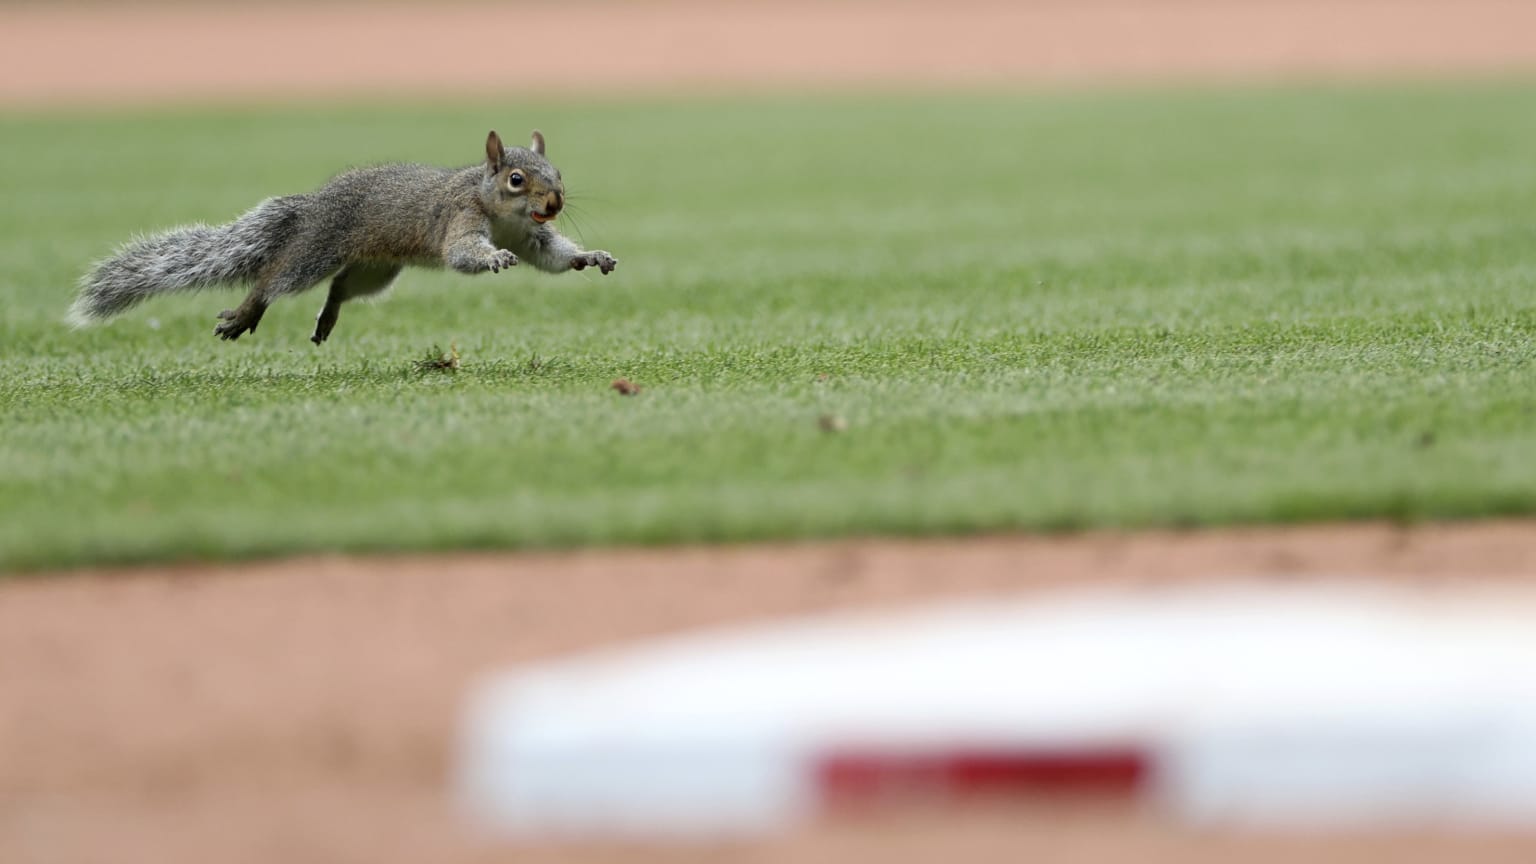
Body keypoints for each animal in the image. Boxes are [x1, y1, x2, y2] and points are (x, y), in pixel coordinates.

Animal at [69, 128, 614, 342]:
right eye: (516, 179)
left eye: (558, 172)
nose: (554, 203)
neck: (499, 212)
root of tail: (315, 206)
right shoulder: (459, 218)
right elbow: (462, 253)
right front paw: (494, 259)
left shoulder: (529, 234)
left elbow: (552, 254)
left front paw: (590, 257)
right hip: (315, 252)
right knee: (274, 278)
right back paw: (247, 312)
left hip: (376, 269)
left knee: (340, 287)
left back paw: (327, 318)